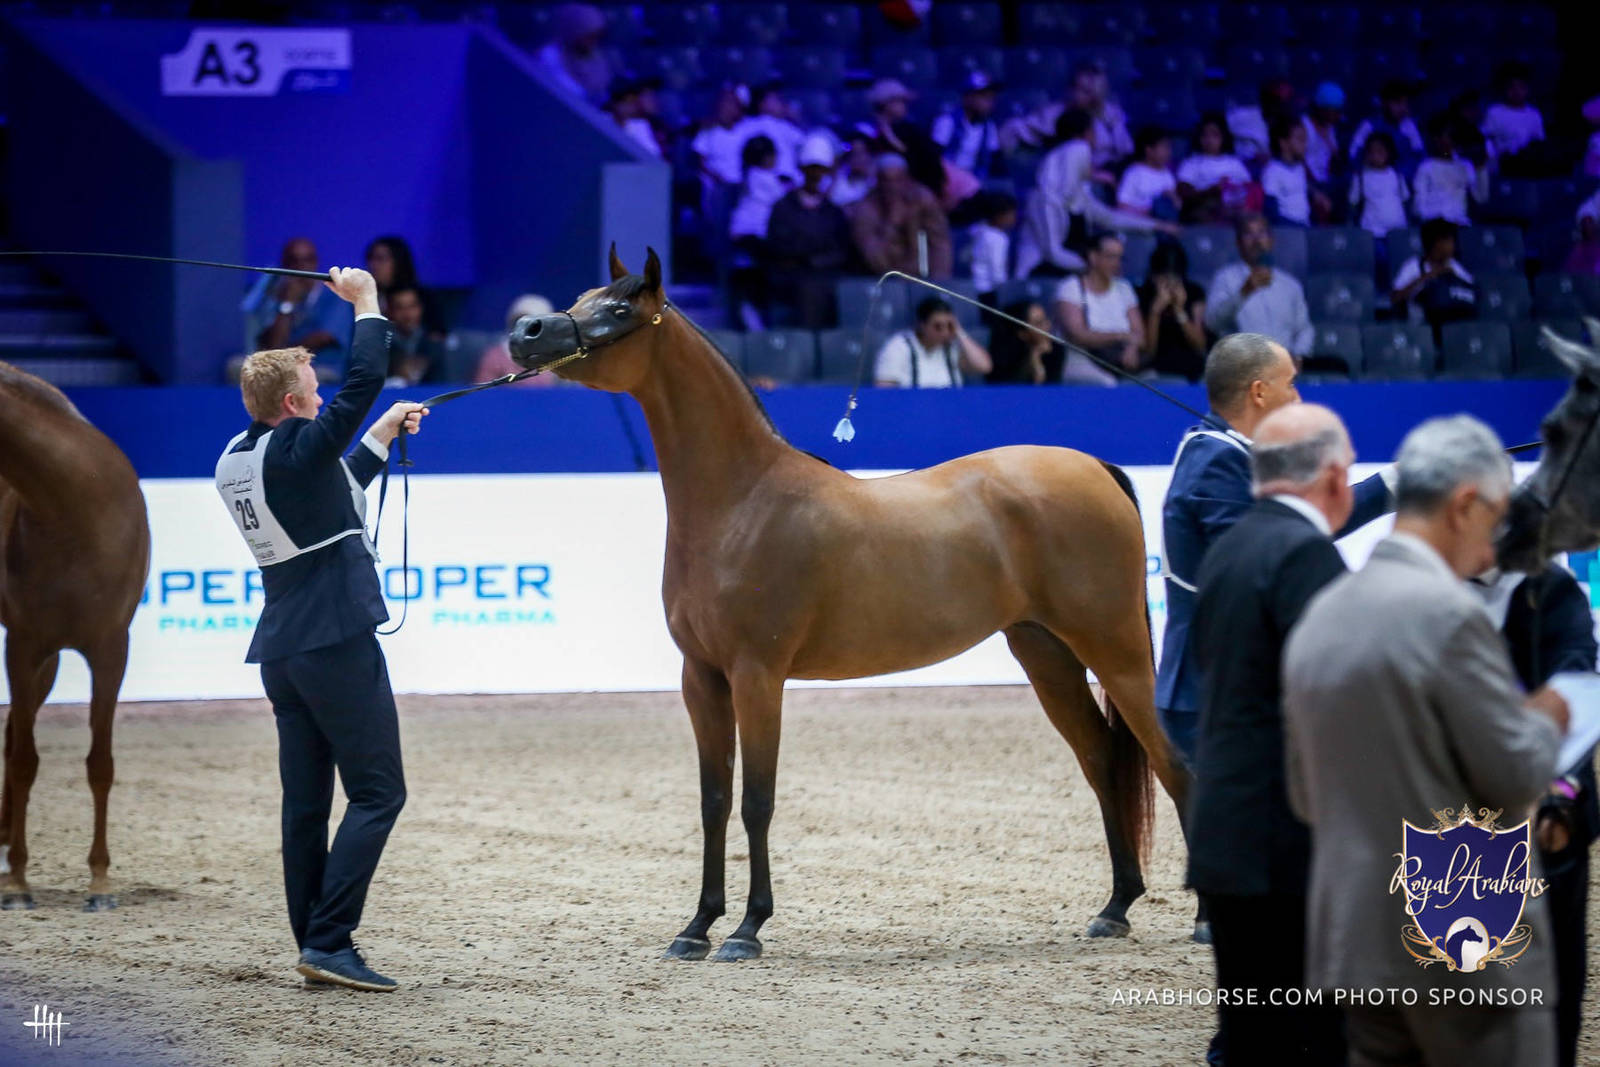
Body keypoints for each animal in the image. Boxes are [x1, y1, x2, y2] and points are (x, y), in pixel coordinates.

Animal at [0, 361, 150, 910]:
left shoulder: (109, 650)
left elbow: (100, 763)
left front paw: (100, 881)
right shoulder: (23, 646)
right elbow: (25, 760)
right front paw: (19, 884)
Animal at [509, 247, 1192, 961]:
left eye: (619, 309)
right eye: (581, 297)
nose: (527, 332)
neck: (744, 501)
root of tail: (1094, 467)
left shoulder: (758, 676)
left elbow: (757, 800)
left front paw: (747, 931)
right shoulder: (702, 678)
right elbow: (713, 799)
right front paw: (696, 928)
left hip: (1116, 651)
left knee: (1170, 762)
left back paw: (1199, 918)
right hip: (1046, 654)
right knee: (1101, 762)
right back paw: (1115, 907)